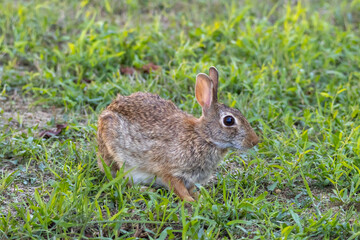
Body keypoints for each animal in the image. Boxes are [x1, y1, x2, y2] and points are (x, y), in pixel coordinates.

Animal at [95, 66, 258, 202]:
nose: (255, 141)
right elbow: (178, 188)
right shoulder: (170, 171)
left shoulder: (191, 179)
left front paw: (201, 197)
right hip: (118, 157)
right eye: (229, 120)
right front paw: (191, 201)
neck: (203, 137)